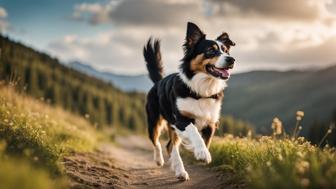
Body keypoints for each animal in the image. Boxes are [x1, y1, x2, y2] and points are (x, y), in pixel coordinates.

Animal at [143, 21, 235, 180]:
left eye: (226, 51)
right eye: (210, 51)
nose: (231, 60)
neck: (201, 91)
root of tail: (159, 81)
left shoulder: (211, 123)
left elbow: (206, 140)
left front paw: (202, 152)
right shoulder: (181, 120)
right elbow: (194, 132)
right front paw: (202, 153)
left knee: (170, 145)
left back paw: (180, 171)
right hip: (154, 120)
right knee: (156, 142)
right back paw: (159, 160)